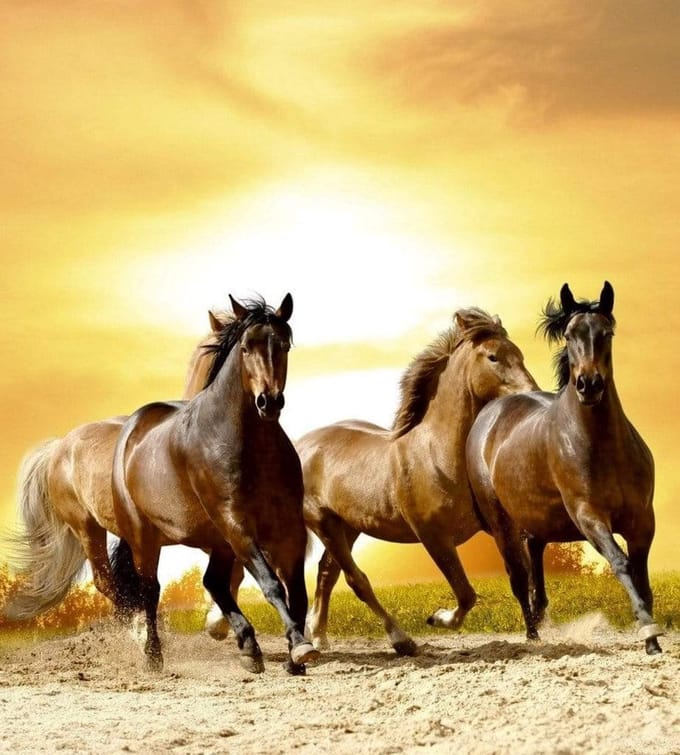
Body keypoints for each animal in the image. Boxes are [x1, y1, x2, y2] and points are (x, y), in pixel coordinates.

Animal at [110, 294, 319, 674]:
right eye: (246, 347)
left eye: (284, 345)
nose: (269, 402)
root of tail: (131, 430)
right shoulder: (236, 522)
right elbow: (271, 584)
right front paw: (300, 647)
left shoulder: (288, 527)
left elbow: (296, 591)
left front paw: (296, 655)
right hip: (145, 538)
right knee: (151, 590)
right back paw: (153, 656)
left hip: (218, 540)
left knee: (214, 582)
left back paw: (249, 647)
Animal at [296, 308, 538, 654]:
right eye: (493, 357)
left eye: (519, 353)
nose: (531, 394)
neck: (437, 454)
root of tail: (302, 445)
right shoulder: (433, 536)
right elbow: (466, 594)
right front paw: (437, 617)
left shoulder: (498, 526)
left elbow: (520, 577)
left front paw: (536, 634)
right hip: (324, 523)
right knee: (356, 580)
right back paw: (401, 640)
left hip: (349, 526)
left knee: (327, 573)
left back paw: (319, 635)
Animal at [465, 282, 662, 654]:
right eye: (570, 335)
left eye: (607, 333)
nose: (588, 384)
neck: (603, 447)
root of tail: (490, 412)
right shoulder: (589, 516)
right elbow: (621, 564)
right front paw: (649, 632)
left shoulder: (642, 520)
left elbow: (642, 576)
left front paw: (652, 638)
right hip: (501, 523)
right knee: (518, 578)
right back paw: (533, 637)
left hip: (537, 521)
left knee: (534, 563)